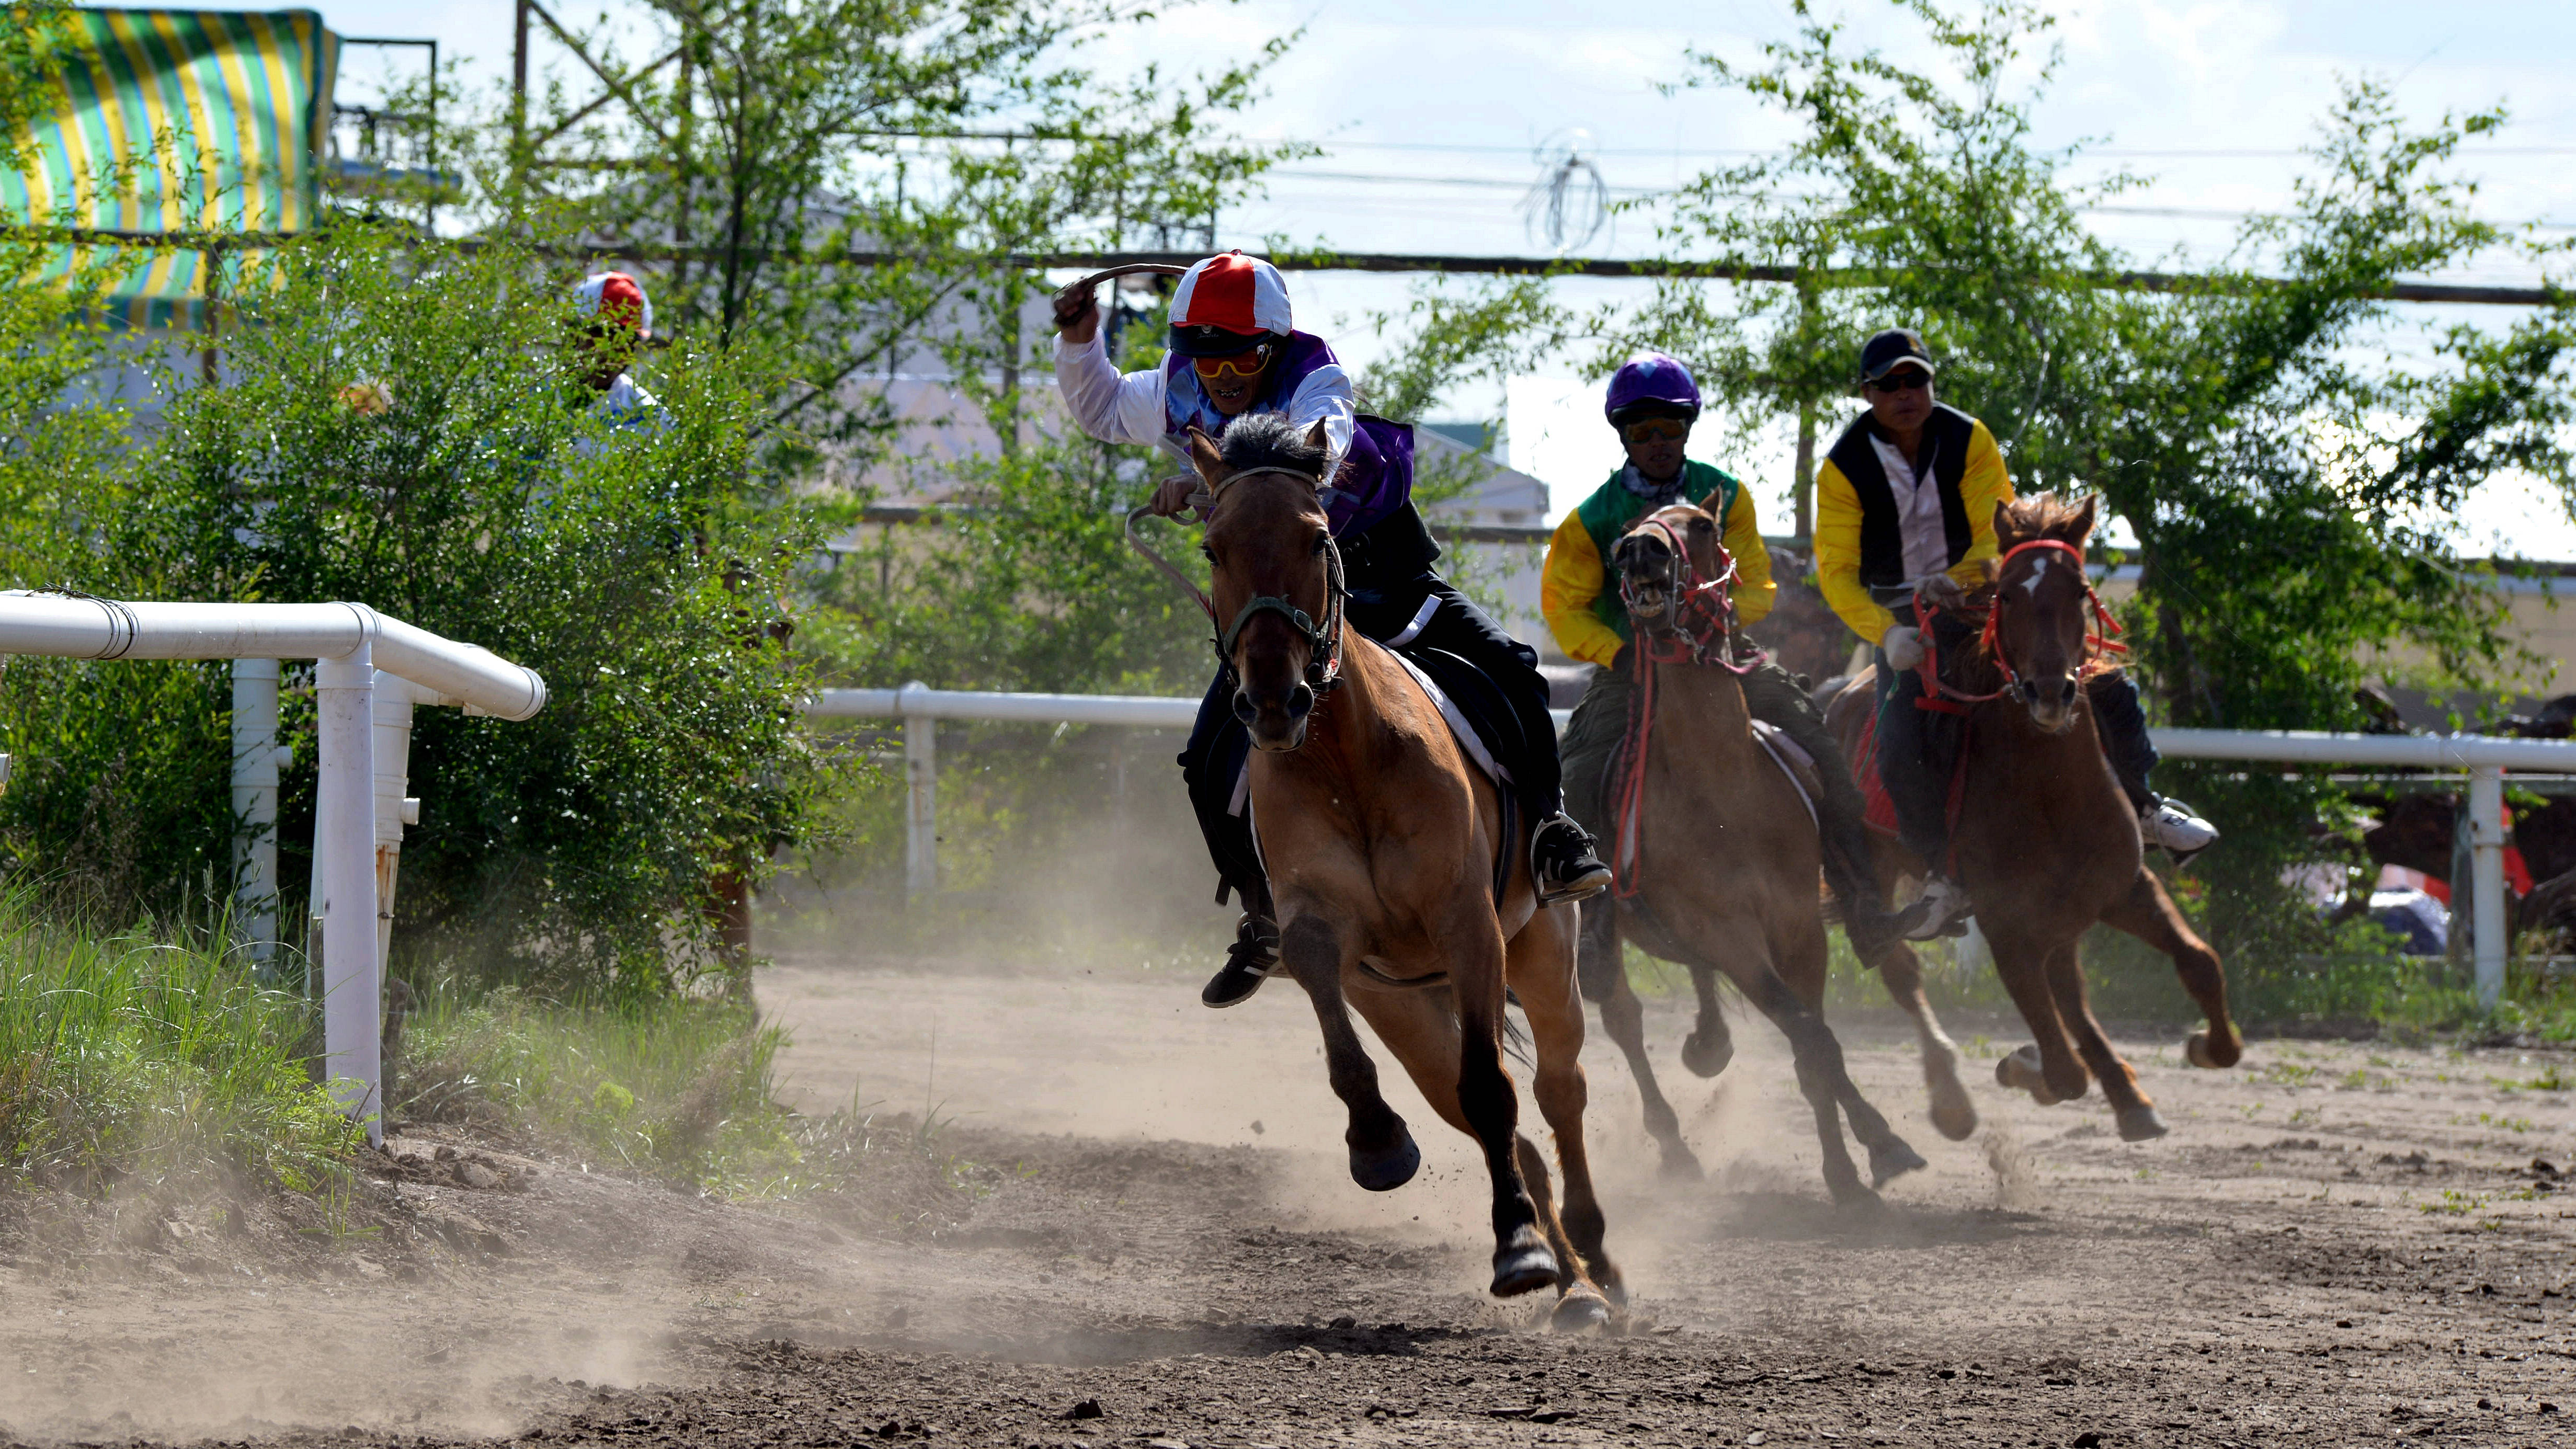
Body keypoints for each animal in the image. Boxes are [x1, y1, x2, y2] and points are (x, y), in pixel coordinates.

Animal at [1180, 414, 1607, 1328]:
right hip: (1407, 1008)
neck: (1348, 754)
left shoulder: (1469, 926)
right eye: (1211, 547)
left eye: (1317, 537)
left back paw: (1589, 1261)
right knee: (1502, 1122)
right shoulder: (1319, 928)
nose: (1274, 700)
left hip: (1544, 956)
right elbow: (1347, 1034)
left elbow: (1497, 1089)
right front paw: (1376, 1141)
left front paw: (1517, 1251)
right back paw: (1576, 1270)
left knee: (1556, 1091)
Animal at [1566, 504, 1937, 1210]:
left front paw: (1857, 1162)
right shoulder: (1731, 938)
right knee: (1624, 1018)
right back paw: (1676, 1146)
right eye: (1625, 529)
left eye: (1703, 524)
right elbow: (1810, 1037)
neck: (1723, 791)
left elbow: (1814, 1044)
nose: (1641, 551)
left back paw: (1709, 1043)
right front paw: (1875, 1150)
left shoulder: (1799, 931)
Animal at [1823, 499, 2246, 1148]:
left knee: (2069, 989)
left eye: (2078, 589)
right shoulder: (2006, 927)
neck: (2052, 795)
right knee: (1900, 966)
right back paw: (1953, 1098)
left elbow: (2200, 962)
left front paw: (2205, 1045)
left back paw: (2128, 1095)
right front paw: (2027, 1066)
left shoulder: (2125, 886)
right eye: (2006, 595)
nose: (2050, 691)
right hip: (1870, 874)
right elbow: (2063, 1070)